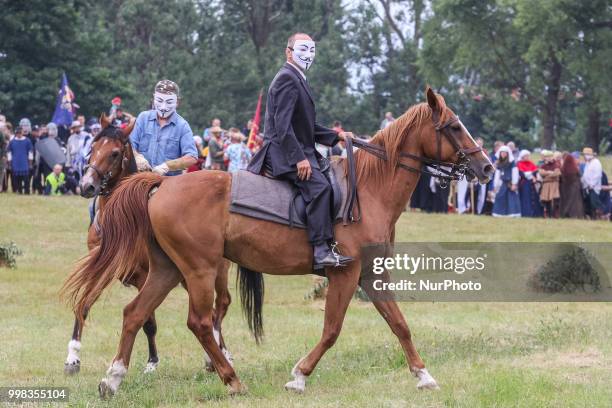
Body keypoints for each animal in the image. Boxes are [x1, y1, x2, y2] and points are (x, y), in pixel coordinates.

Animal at [62, 115, 233, 376]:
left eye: (114, 153)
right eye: (92, 148)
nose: (87, 185)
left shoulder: (145, 275)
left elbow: (148, 321)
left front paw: (152, 362)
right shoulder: (104, 269)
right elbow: (84, 303)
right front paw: (72, 358)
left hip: (213, 271)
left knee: (219, 306)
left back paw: (218, 356)